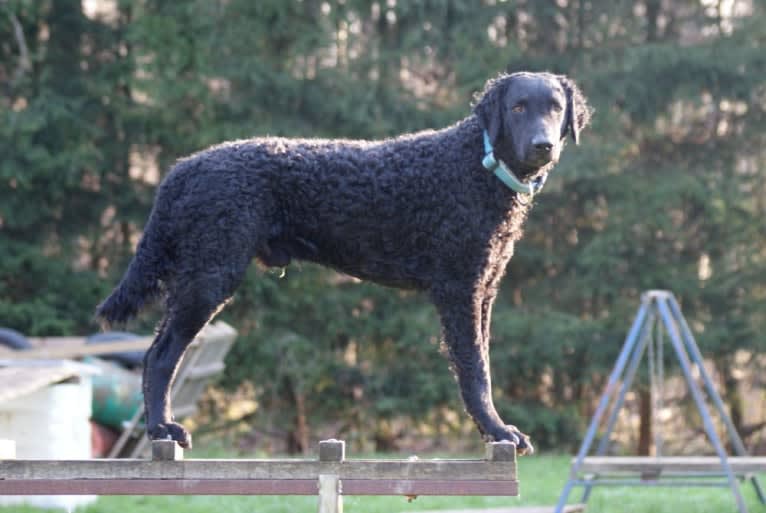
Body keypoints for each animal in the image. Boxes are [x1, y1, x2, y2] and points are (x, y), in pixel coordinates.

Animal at [97, 71, 592, 452]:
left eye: (554, 107)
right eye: (518, 107)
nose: (543, 145)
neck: (477, 166)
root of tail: (182, 169)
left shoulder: (483, 290)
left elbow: (482, 363)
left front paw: (493, 429)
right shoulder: (458, 290)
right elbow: (475, 371)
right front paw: (496, 431)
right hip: (208, 275)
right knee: (159, 356)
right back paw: (161, 429)